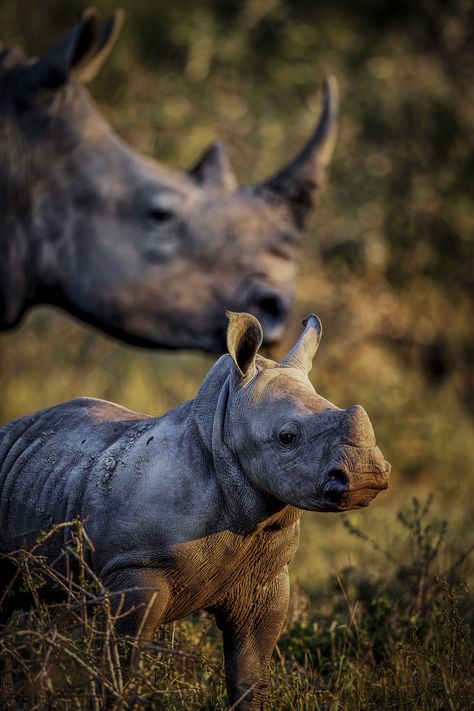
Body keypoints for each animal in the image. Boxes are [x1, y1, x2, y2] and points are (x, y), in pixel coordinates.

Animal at [0, 314, 388, 708]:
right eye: (287, 438)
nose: (366, 474)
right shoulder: (135, 567)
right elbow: (120, 664)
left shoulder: (265, 578)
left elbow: (250, 673)